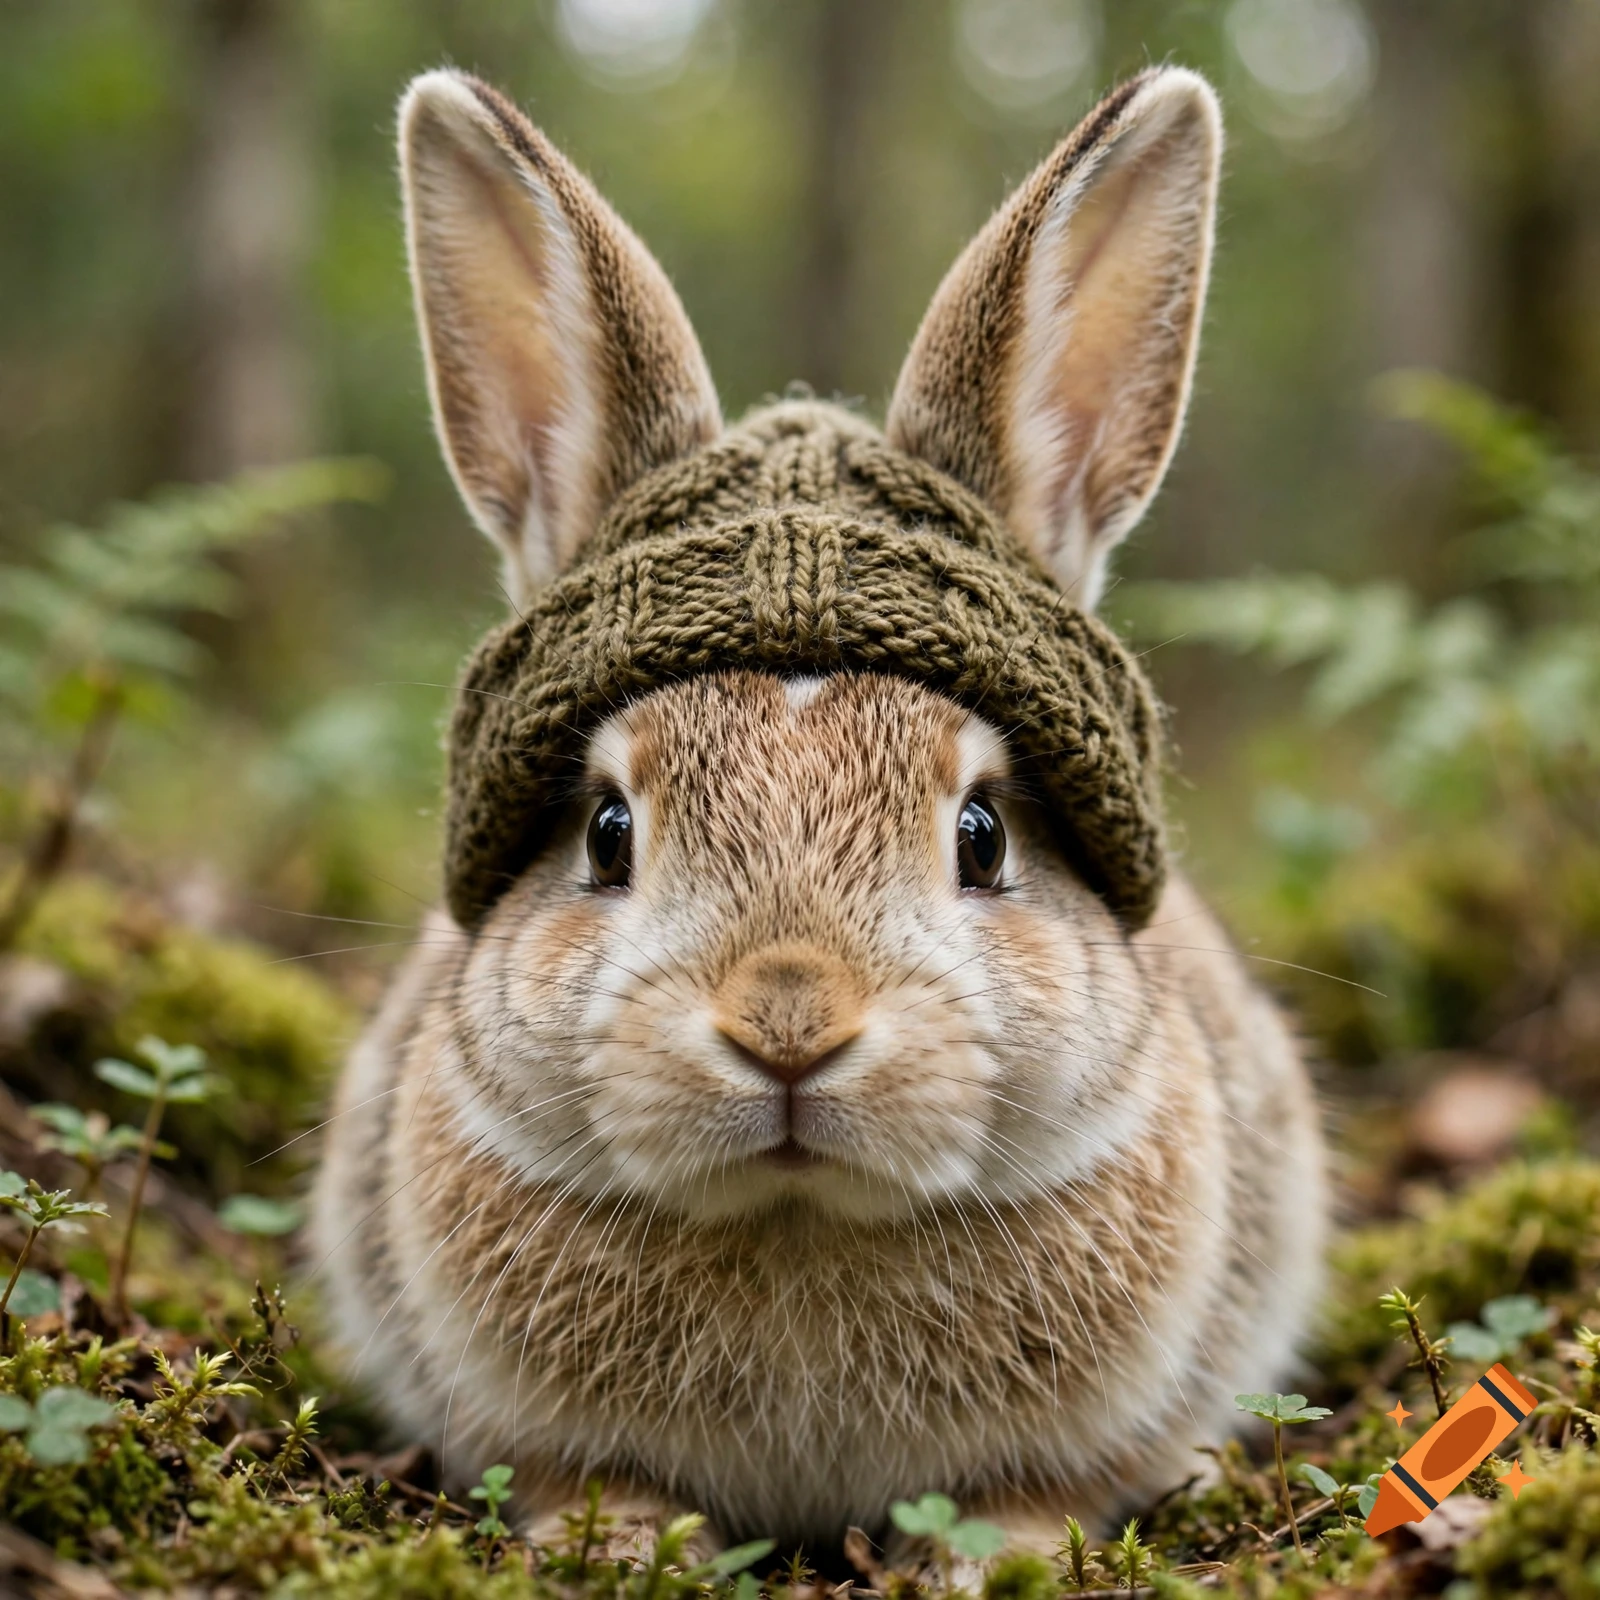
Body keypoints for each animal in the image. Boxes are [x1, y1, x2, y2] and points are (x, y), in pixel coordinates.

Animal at [310, 62, 1326, 1556]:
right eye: (607, 831)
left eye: (982, 835)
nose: (788, 1022)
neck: (797, 1220)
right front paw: (627, 1538)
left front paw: (994, 1553)